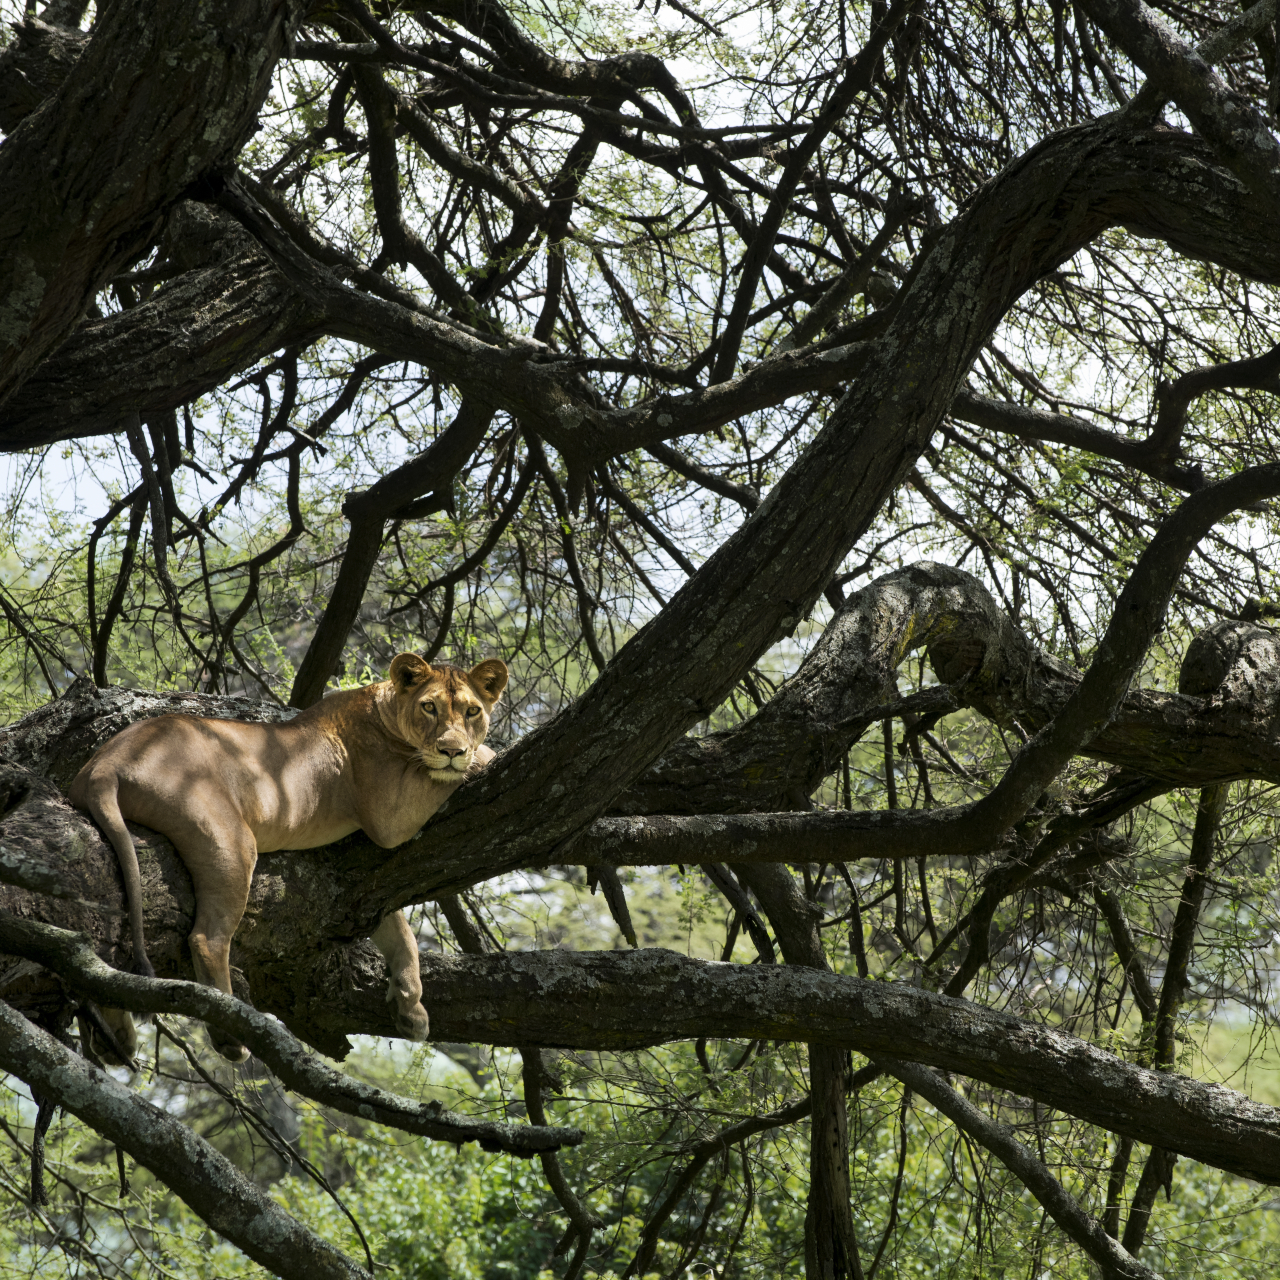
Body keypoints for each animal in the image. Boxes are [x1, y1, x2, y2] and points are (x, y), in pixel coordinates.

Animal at [69, 653, 508, 1062]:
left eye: (472, 711)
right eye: (429, 707)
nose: (451, 749)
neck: (385, 712)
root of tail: (105, 762)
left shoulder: (367, 884)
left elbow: (399, 931)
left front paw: (412, 1007)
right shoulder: (390, 818)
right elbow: (446, 775)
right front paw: (480, 756)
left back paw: (115, 1038)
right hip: (229, 838)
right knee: (207, 938)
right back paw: (230, 1034)